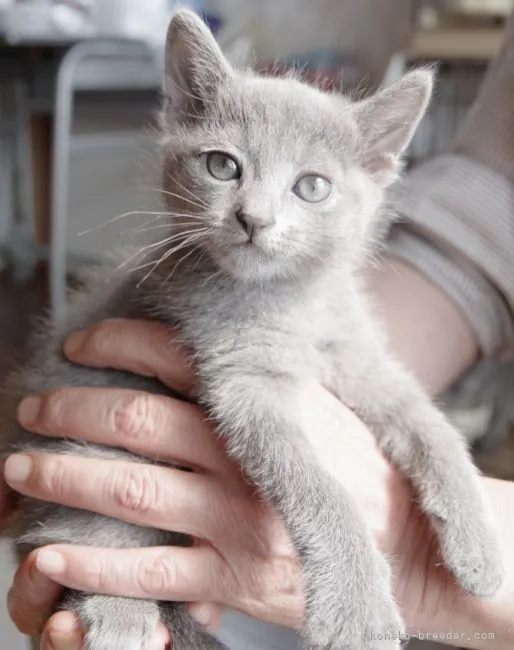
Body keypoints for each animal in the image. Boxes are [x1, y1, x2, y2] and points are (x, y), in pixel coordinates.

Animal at [0, 10, 502, 648]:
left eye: (312, 186)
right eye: (222, 165)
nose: (253, 219)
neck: (291, 300)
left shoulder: (359, 357)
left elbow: (432, 428)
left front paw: (478, 544)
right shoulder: (242, 379)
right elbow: (319, 486)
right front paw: (358, 608)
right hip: (93, 458)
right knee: (77, 548)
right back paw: (121, 614)